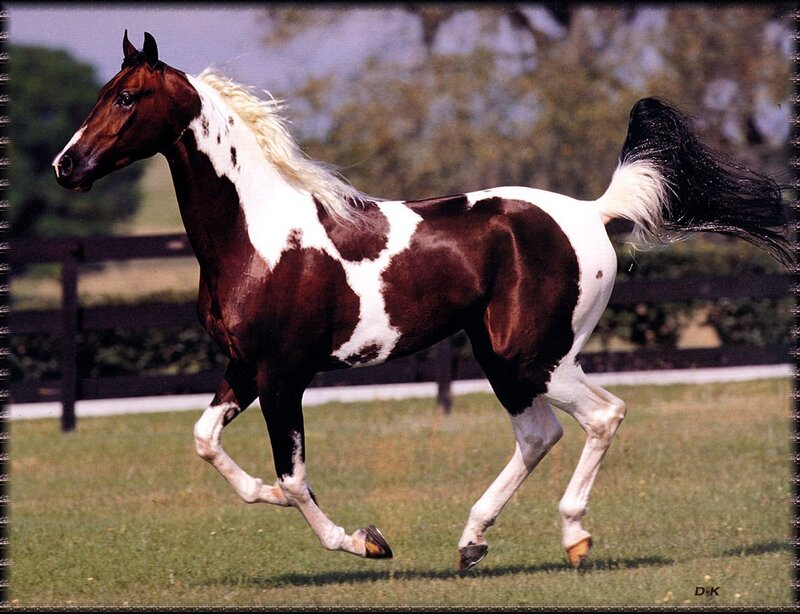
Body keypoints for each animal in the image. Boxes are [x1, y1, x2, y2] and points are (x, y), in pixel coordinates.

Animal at [53, 32, 794, 571]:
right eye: (104, 93)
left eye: (127, 97)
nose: (66, 166)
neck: (258, 236)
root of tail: (592, 213)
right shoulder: (244, 367)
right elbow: (207, 442)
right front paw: (274, 500)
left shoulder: (284, 374)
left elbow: (294, 478)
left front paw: (364, 541)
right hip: (501, 357)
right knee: (539, 434)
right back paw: (471, 542)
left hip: (536, 357)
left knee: (602, 417)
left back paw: (574, 537)